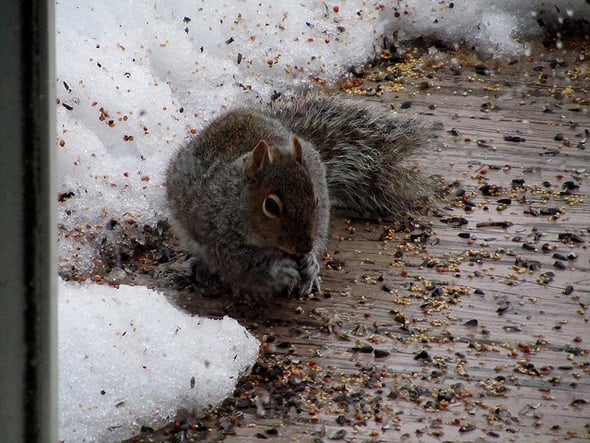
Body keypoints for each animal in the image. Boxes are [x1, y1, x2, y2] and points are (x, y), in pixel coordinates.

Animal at [166, 96, 434, 298]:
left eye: (315, 199)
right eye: (270, 206)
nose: (303, 247)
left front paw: (310, 264)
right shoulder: (219, 232)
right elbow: (244, 262)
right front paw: (279, 269)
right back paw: (204, 271)